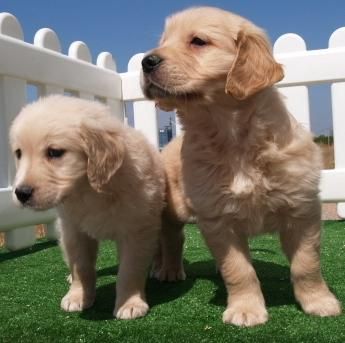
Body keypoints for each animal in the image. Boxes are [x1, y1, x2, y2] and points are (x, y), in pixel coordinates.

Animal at [9, 95, 165, 322]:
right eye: (19, 153)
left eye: (54, 152)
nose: (21, 193)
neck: (89, 189)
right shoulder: (73, 231)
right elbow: (80, 267)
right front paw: (78, 296)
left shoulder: (136, 230)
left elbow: (129, 270)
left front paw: (129, 303)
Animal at [140, 6, 342, 326]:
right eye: (163, 41)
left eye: (198, 41)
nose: (146, 62)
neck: (232, 137)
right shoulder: (218, 218)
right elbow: (238, 270)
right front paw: (246, 309)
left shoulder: (303, 210)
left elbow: (306, 264)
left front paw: (319, 302)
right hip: (173, 207)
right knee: (171, 237)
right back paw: (169, 269)